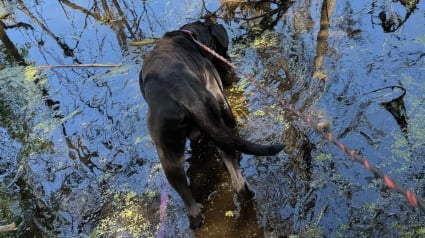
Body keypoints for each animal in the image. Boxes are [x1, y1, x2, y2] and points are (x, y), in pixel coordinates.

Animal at [140, 20, 284, 229]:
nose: (228, 61)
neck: (191, 36)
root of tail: (183, 94)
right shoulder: (223, 103)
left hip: (169, 154)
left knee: (189, 201)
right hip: (217, 117)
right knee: (238, 181)